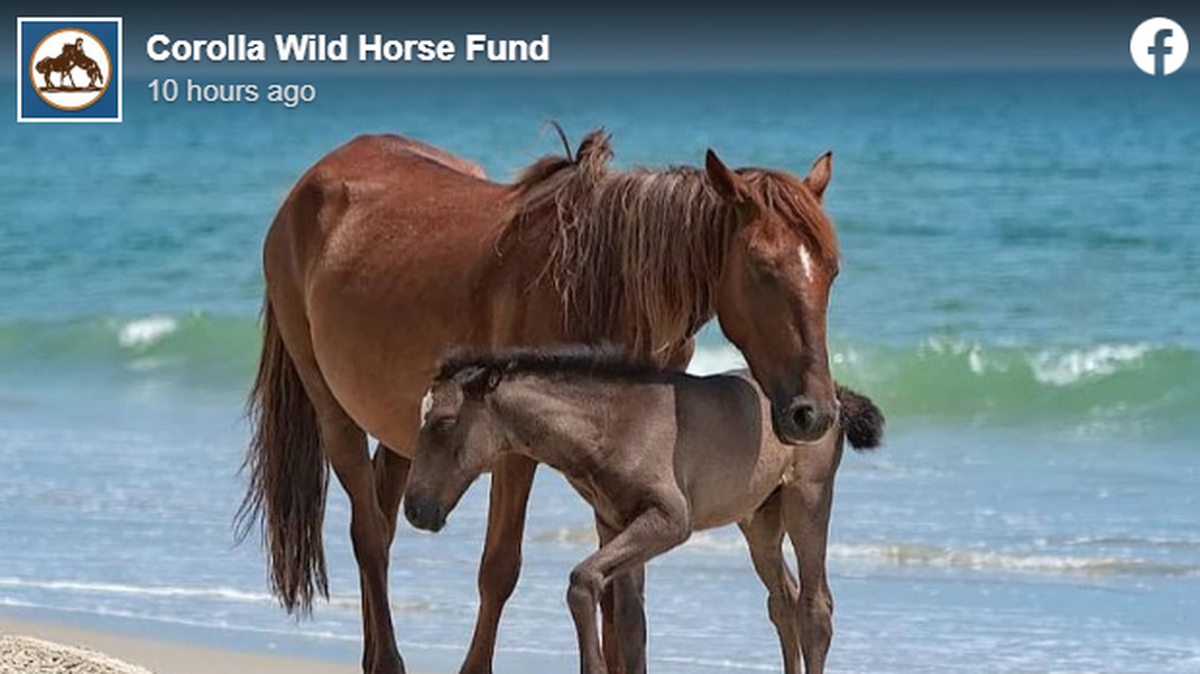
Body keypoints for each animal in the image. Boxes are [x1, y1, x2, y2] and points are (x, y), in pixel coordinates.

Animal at [404, 346, 885, 674]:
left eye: (444, 423)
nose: (414, 509)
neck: (612, 425)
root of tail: (834, 395)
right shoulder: (615, 522)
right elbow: (630, 623)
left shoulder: (671, 520)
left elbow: (583, 580)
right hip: (759, 519)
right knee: (782, 599)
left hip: (808, 498)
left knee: (814, 607)